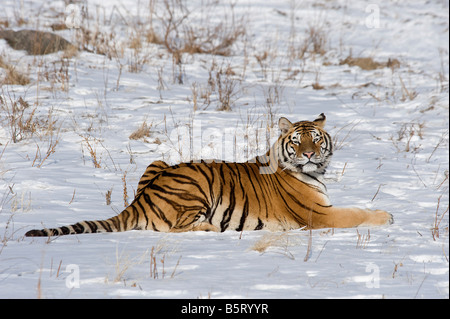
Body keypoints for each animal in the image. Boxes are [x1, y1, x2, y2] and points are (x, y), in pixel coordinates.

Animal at [24, 113, 392, 238]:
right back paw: (213, 228)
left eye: (316, 139)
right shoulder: (319, 215)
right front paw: (387, 216)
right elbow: (355, 213)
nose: (310, 154)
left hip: (157, 161)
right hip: (196, 186)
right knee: (174, 228)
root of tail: (140, 200)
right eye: (297, 141)